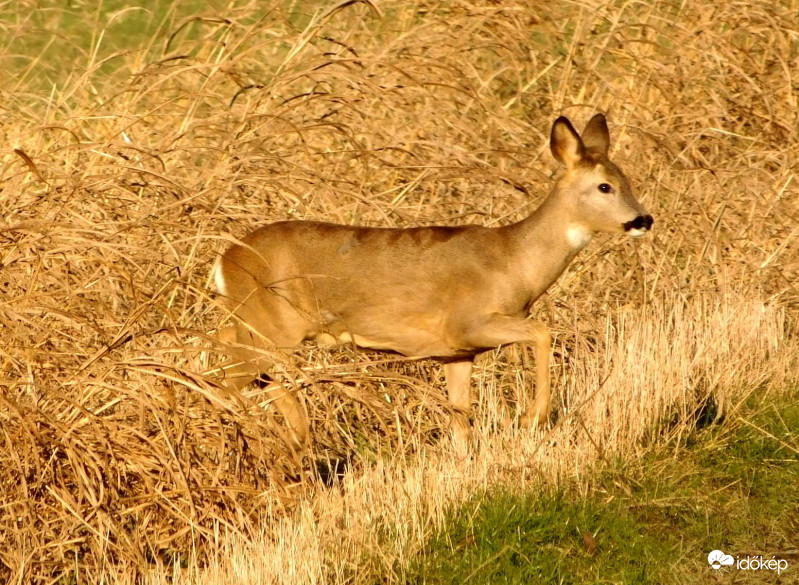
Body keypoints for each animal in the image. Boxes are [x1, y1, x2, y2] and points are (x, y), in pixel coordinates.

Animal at [214, 115, 656, 452]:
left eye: (628, 180)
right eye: (604, 186)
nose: (643, 219)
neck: (514, 261)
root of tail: (223, 262)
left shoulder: (456, 352)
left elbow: (461, 418)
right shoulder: (467, 322)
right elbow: (542, 331)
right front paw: (533, 418)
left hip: (257, 327)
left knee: (235, 359)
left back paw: (294, 439)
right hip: (270, 326)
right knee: (228, 376)